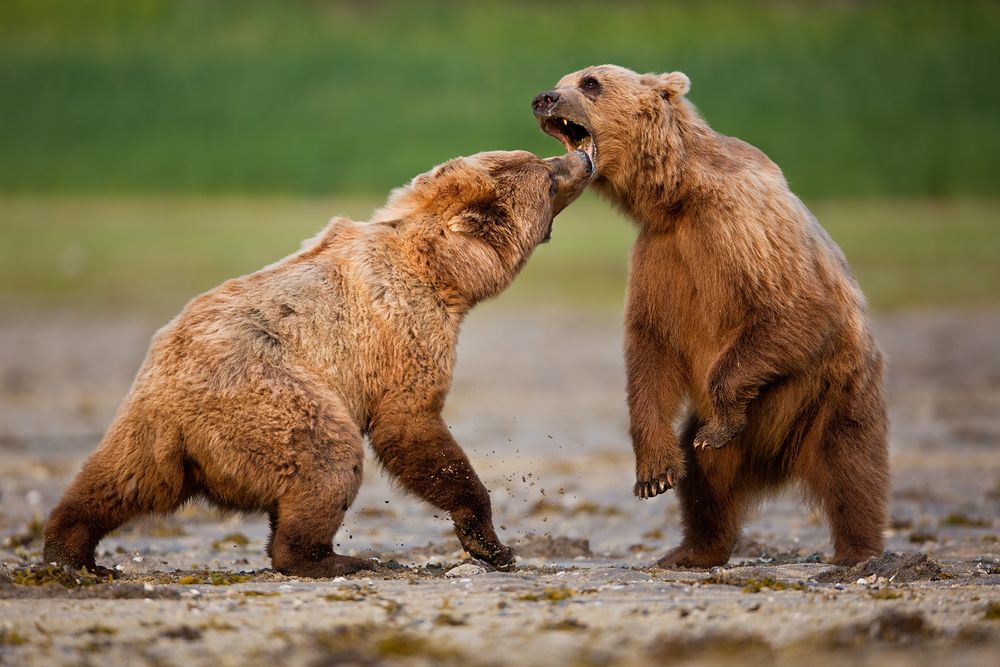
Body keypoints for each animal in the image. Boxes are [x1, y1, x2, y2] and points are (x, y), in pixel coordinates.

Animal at [43, 148, 595, 578]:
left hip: (145, 425)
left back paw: (71, 552)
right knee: (327, 456)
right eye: (546, 175)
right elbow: (409, 424)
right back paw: (335, 558)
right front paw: (493, 543)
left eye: (541, 160)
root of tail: (173, 412)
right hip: (269, 399)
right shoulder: (404, 330)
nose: (583, 158)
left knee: (115, 481)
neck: (444, 271)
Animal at [532, 65, 888, 567]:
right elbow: (650, 347)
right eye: (563, 80)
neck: (676, 196)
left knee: (851, 470)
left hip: (831, 393)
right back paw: (691, 550)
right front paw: (655, 474)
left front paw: (720, 424)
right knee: (704, 480)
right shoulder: (660, 256)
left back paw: (856, 551)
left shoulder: (739, 223)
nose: (543, 98)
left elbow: (796, 303)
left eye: (589, 82)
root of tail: (778, 461)